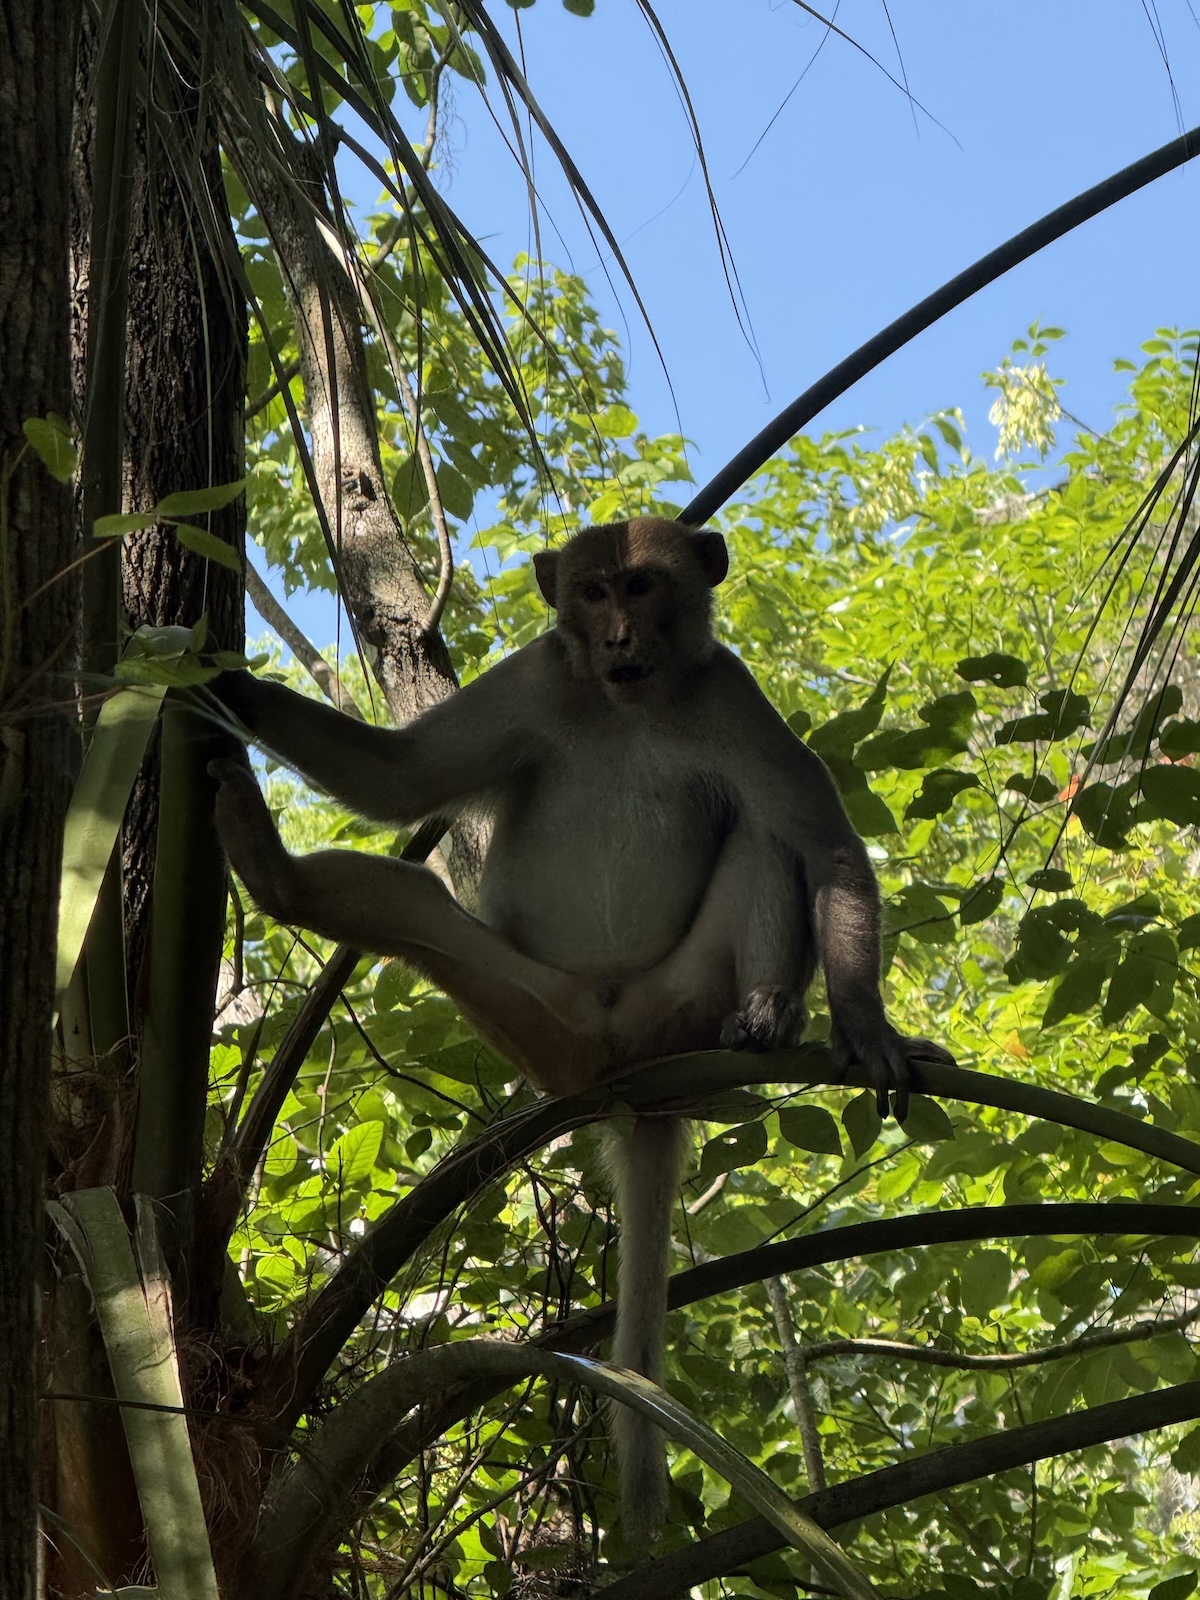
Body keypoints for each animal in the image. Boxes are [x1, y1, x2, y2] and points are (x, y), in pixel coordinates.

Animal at [208, 516, 952, 1541]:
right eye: (593, 593)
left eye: (641, 586)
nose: (617, 637)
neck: (624, 706)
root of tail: (625, 1072)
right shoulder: (536, 676)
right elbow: (397, 779)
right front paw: (225, 686)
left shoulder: (729, 694)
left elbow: (825, 844)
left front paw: (865, 1024)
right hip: (535, 1018)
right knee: (418, 905)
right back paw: (269, 869)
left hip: (678, 1008)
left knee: (762, 829)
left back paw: (768, 1013)